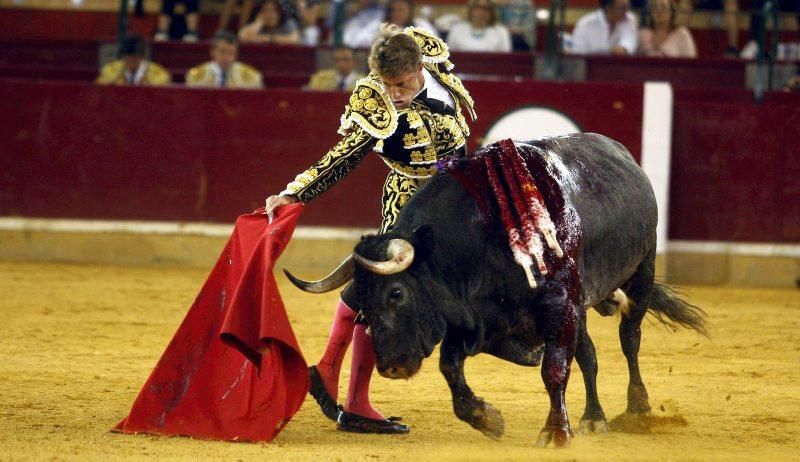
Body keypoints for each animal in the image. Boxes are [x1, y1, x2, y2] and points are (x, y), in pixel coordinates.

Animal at [286, 134, 708, 448]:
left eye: (396, 294)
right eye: (362, 303)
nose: (391, 365)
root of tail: (622, 154)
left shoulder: (559, 305)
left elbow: (554, 370)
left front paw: (556, 433)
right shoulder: (478, 319)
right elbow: (450, 365)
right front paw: (486, 418)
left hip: (641, 271)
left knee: (629, 338)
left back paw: (637, 409)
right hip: (583, 303)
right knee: (588, 355)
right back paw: (593, 418)